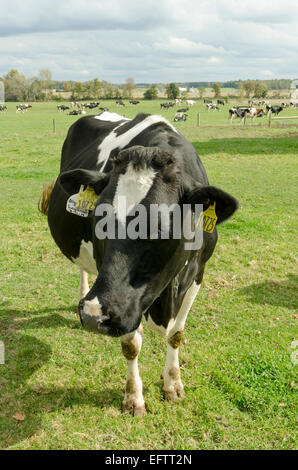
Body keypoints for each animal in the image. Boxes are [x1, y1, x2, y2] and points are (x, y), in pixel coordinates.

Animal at [39, 112, 237, 416]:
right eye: (98, 218)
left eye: (158, 227)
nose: (93, 315)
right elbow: (131, 345)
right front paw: (134, 398)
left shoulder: (199, 273)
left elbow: (176, 335)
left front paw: (172, 383)